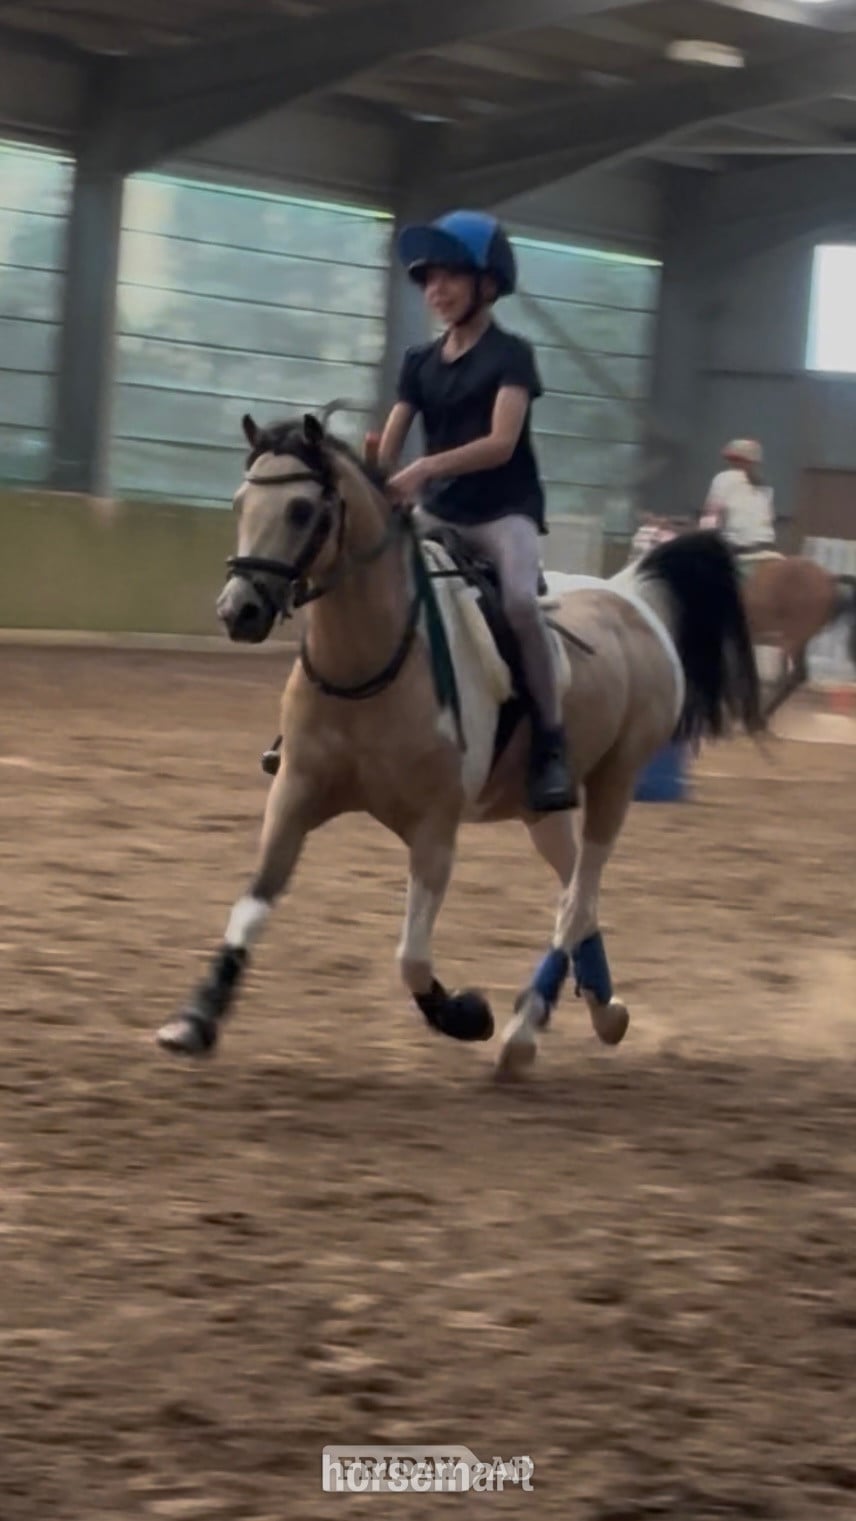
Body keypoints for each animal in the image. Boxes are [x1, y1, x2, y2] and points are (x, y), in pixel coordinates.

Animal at [156, 411, 763, 1081]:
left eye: (300, 509)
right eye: (241, 502)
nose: (238, 611)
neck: (372, 663)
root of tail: (631, 595)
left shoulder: (434, 828)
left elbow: (412, 956)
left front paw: (465, 1015)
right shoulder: (294, 795)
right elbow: (253, 903)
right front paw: (195, 1020)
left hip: (617, 780)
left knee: (578, 899)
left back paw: (523, 1032)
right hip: (539, 808)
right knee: (575, 893)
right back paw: (601, 1011)